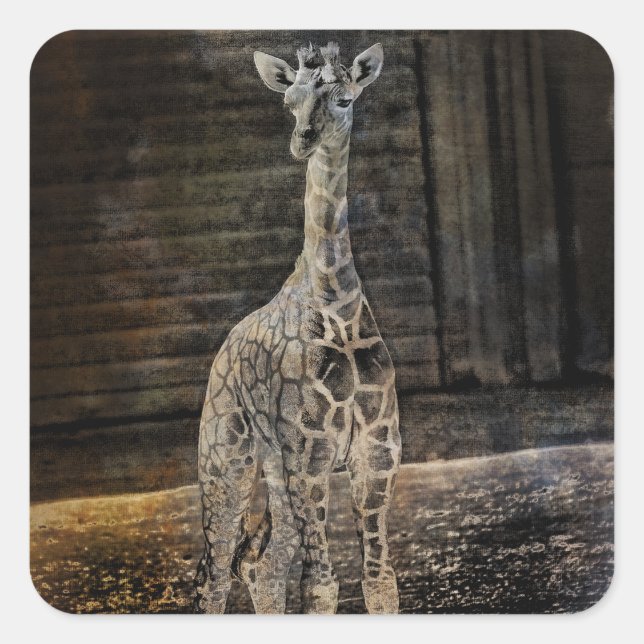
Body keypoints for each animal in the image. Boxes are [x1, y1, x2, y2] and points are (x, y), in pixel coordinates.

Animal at [194, 41, 401, 615]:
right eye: (289, 101)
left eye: (346, 98)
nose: (302, 141)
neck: (338, 303)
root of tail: (222, 352)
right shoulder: (310, 453)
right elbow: (321, 586)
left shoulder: (378, 451)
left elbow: (379, 580)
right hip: (227, 456)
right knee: (214, 571)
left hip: (273, 466)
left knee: (258, 564)